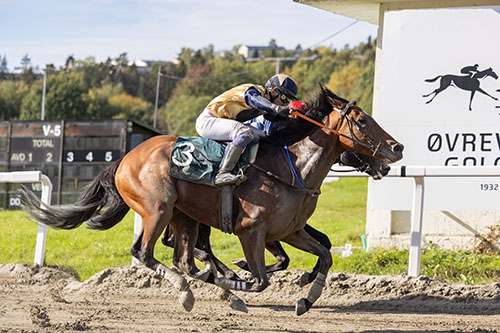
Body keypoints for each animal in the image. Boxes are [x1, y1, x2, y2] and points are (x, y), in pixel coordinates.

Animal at [22, 85, 402, 314]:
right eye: (362, 120)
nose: (397, 148)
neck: (292, 166)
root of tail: (125, 159)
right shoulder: (252, 231)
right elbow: (261, 279)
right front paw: (234, 281)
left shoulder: (290, 231)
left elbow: (324, 255)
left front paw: (307, 297)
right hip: (157, 210)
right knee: (145, 253)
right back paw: (193, 291)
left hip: (184, 216)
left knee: (183, 259)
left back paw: (208, 287)